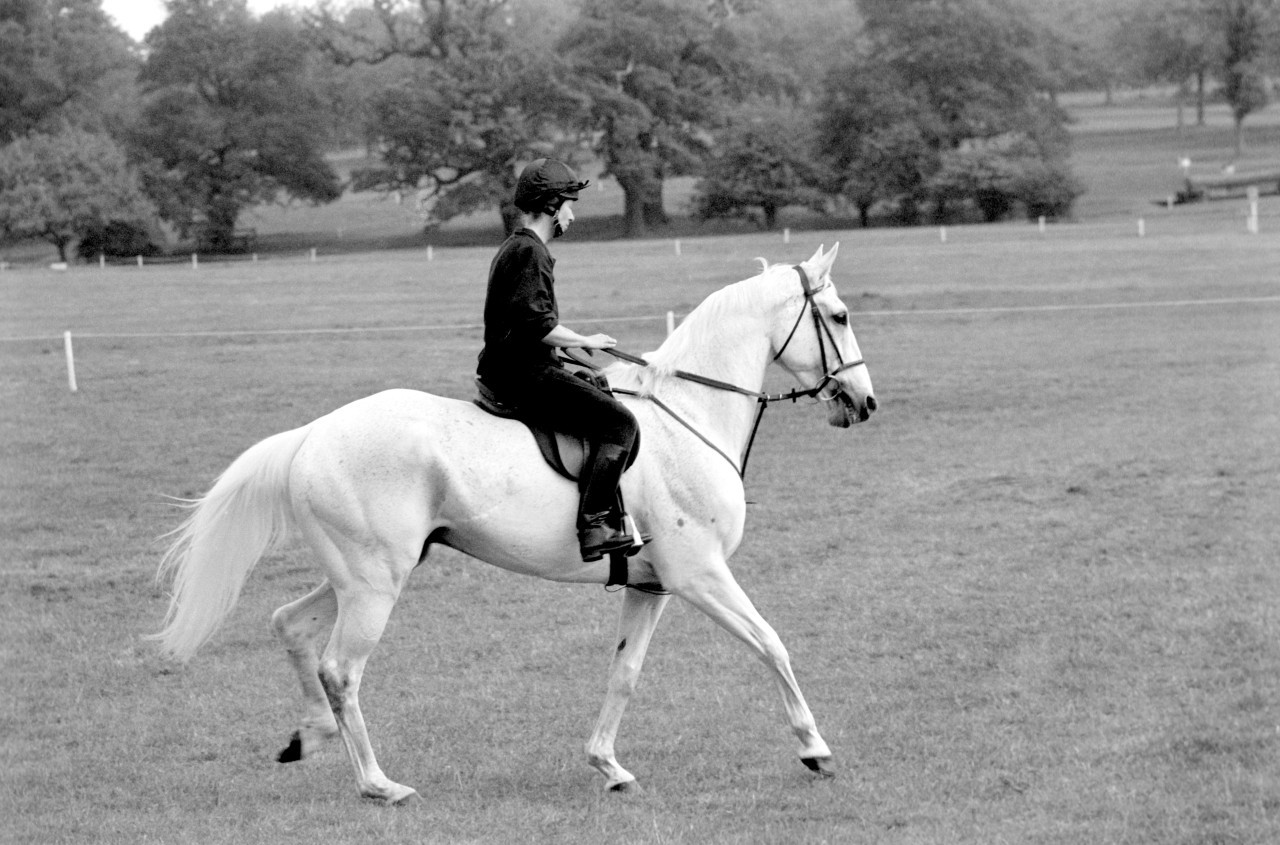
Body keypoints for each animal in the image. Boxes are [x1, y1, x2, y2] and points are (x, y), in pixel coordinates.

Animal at [147, 240, 870, 804]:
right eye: (838, 316)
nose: (863, 402)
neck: (687, 416)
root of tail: (311, 435)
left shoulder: (651, 586)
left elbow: (625, 672)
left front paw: (607, 765)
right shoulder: (701, 576)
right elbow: (772, 643)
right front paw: (814, 748)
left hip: (364, 574)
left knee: (289, 624)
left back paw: (310, 735)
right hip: (374, 583)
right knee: (342, 669)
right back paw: (380, 784)